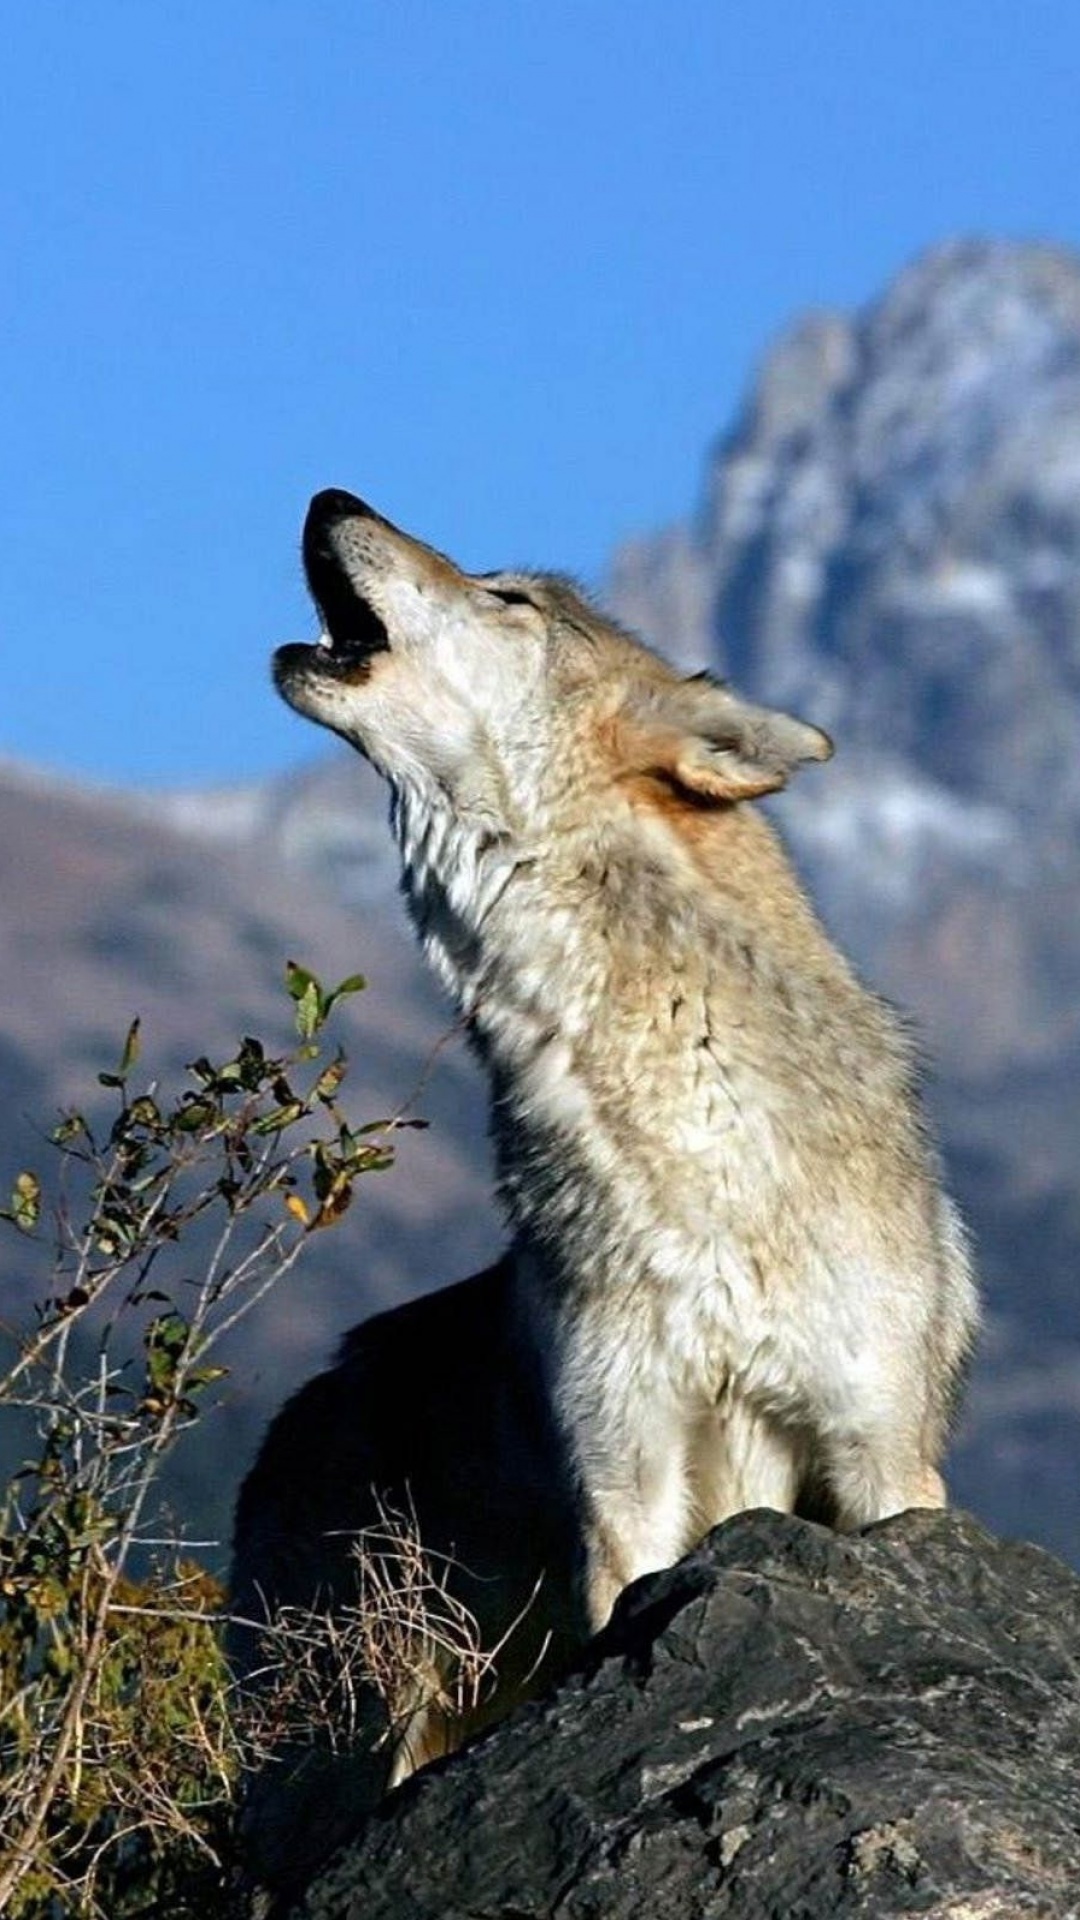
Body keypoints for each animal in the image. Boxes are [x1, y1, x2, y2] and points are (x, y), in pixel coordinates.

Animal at [231, 487, 977, 1892]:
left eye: (509, 598)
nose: (329, 499)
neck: (693, 1142)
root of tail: (287, 1423)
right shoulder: (623, 1485)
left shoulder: (879, 1460)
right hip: (348, 1730)